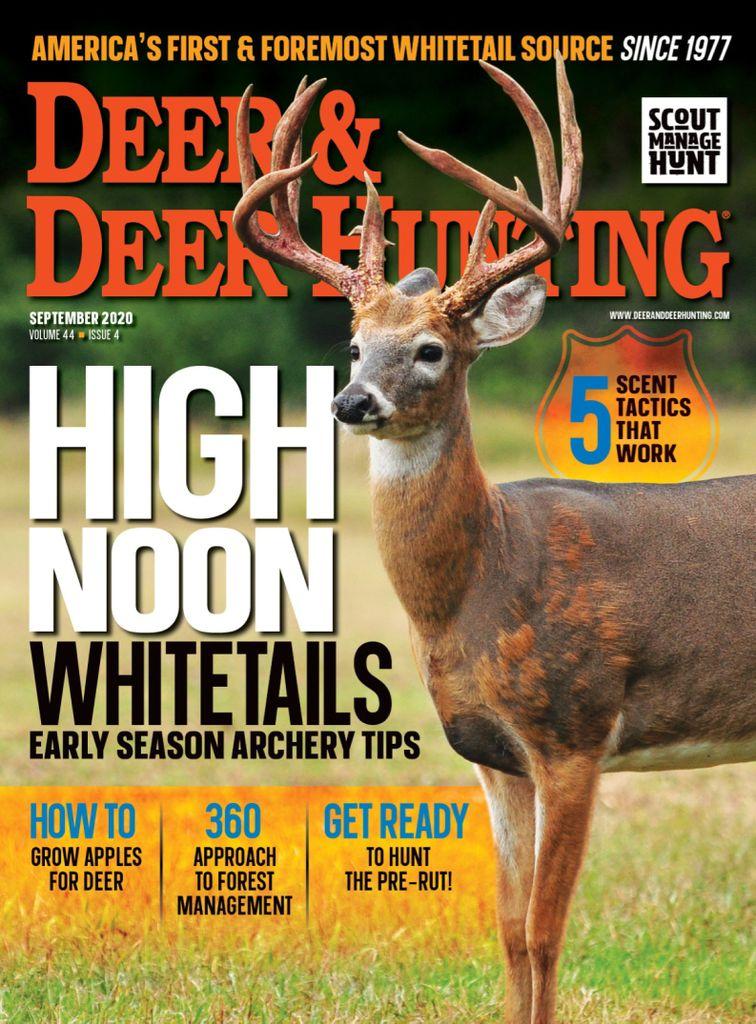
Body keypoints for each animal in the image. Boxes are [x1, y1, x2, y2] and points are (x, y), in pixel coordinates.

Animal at [233, 59, 756, 1024]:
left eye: (432, 350)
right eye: (354, 344)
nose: (351, 402)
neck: (480, 586)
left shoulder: (577, 731)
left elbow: (548, 933)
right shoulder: (491, 755)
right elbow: (510, 933)